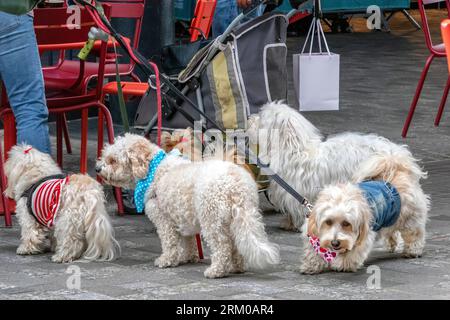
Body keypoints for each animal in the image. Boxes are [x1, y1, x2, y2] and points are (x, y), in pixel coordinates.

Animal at [96, 132, 280, 278]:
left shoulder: (164, 221)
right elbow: (188, 241)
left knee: (222, 247)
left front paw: (166, 260)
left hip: (212, 221)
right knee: (236, 245)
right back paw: (237, 267)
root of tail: (235, 184)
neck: (153, 171)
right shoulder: (182, 217)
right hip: (234, 219)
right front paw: (187, 257)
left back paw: (216, 271)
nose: (97, 169)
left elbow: (169, 243)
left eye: (112, 160)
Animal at [251, 101, 414, 231]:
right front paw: (288, 223)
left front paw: (295, 224)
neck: (293, 150)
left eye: (261, 117)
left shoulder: (296, 190)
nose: (249, 118)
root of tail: (397, 153)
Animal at [298, 148, 428, 276]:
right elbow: (312, 252)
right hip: (391, 218)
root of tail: (398, 171)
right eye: (328, 222)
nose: (335, 243)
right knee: (391, 231)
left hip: (410, 220)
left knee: (415, 235)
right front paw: (311, 266)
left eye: (346, 223)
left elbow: (351, 254)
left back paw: (413, 251)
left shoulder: (363, 235)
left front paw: (342, 265)